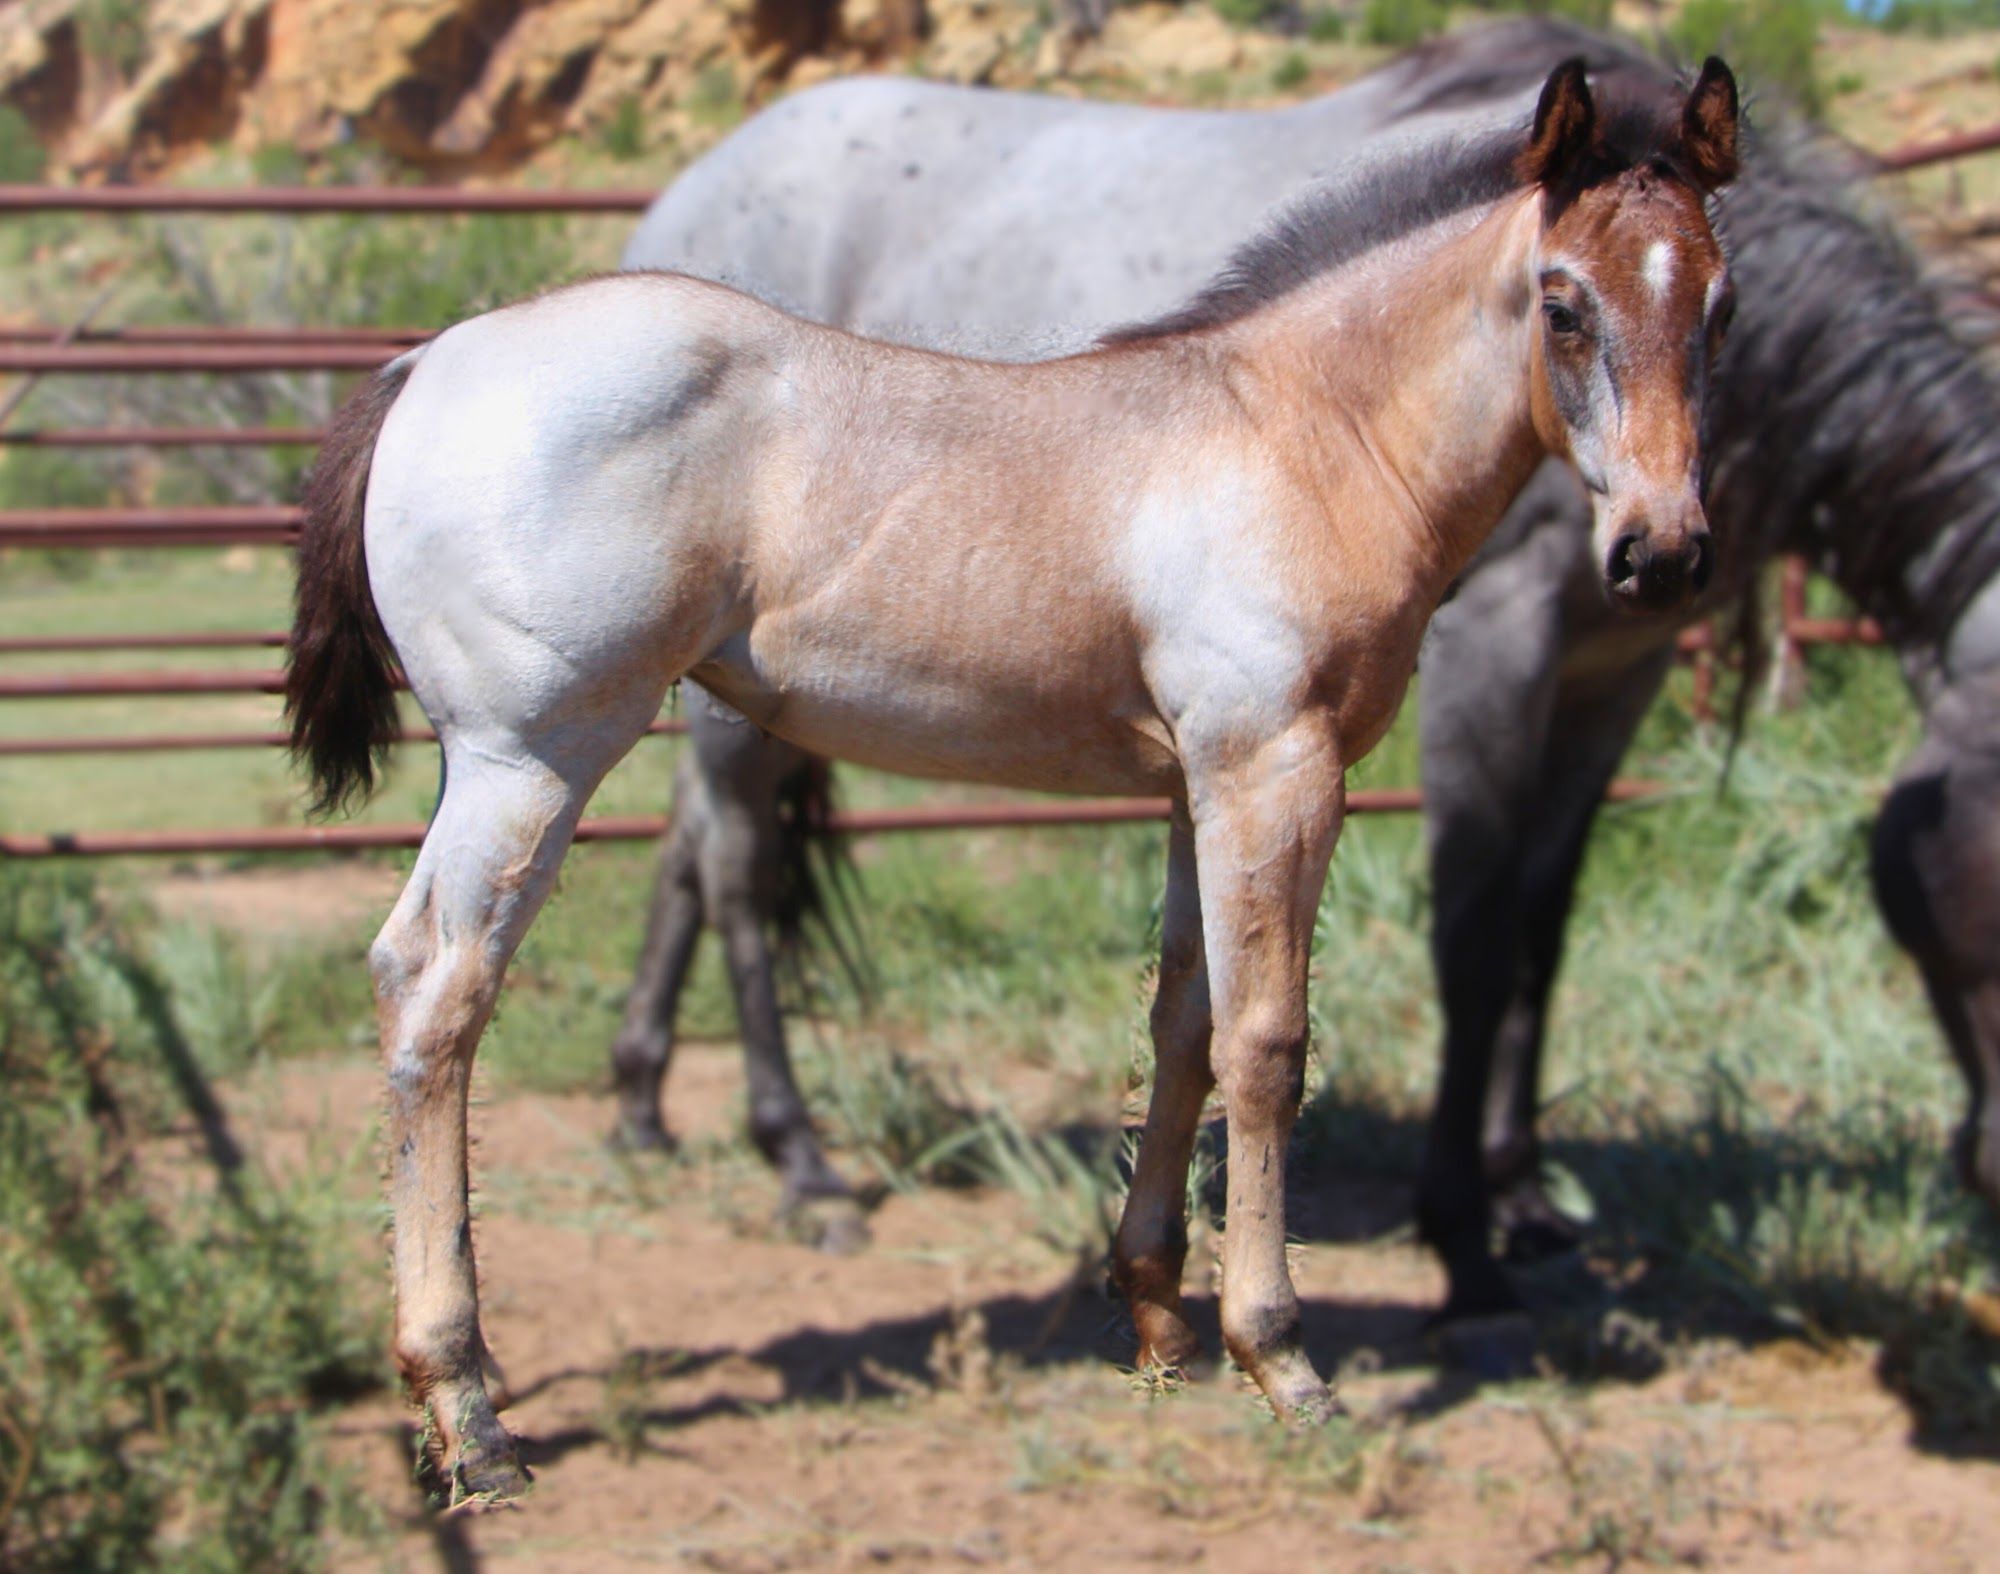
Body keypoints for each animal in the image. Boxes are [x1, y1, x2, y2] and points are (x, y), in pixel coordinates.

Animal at [284, 59, 1738, 1499]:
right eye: (1562, 304)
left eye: (1719, 303)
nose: (1660, 554)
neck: (1303, 431)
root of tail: (425, 362)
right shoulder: (1276, 768)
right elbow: (1267, 1045)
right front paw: (1283, 1358)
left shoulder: (1197, 784)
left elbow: (1182, 1023)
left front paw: (1154, 1316)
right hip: (530, 756)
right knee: (436, 989)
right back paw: (470, 1409)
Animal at [618, 17, 2000, 1360]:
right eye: (1558, 311)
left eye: (1723, 312)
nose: (1657, 552)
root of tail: (685, 192)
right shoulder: (1489, 652)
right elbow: (1467, 940)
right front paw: (1464, 1248)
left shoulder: (1614, 668)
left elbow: (1539, 929)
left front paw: (1522, 1196)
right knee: (734, 862)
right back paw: (800, 1162)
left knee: (684, 844)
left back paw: (639, 1099)